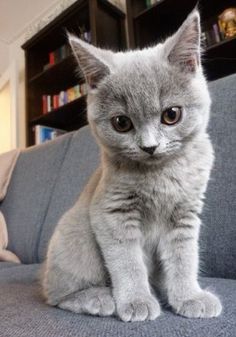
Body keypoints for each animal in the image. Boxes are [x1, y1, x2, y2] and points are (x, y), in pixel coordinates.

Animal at [42, 9, 221, 320]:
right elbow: (127, 261)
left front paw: (189, 297)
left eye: (171, 115)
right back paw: (98, 298)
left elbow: (184, 257)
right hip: (75, 236)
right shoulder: (111, 211)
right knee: (56, 295)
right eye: (121, 123)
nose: (149, 146)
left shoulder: (185, 213)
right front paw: (137, 301)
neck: (162, 173)